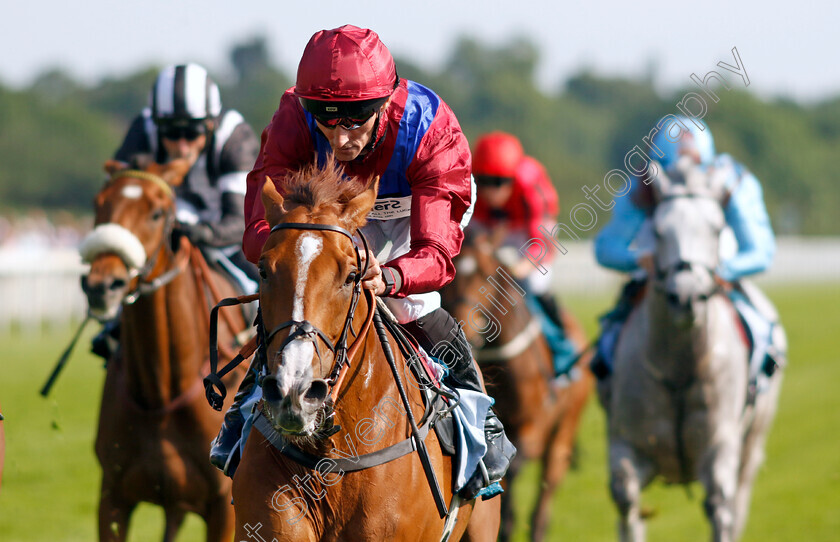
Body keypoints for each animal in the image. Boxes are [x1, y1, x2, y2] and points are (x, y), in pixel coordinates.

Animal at [80, 163, 248, 542]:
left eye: (156, 213)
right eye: (98, 204)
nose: (102, 285)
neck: (161, 393)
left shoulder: (223, 506)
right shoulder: (112, 496)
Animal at [442, 238, 592, 542]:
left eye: (486, 273)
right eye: (454, 275)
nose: (461, 325)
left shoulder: (531, 428)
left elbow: (514, 467)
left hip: (564, 430)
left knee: (546, 491)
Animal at [600, 160, 784, 542]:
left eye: (716, 229)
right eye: (658, 230)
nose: (685, 297)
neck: (679, 368)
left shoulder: (720, 444)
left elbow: (719, 505)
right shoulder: (627, 443)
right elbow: (627, 501)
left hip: (754, 442)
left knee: (739, 499)